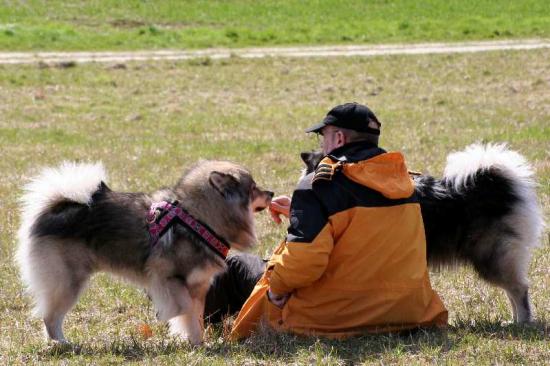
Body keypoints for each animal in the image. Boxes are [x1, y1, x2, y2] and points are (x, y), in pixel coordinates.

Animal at [16, 159, 274, 344]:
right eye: (253, 188)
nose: (271, 193)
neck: (201, 218)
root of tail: (54, 208)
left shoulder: (198, 286)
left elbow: (196, 317)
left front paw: (197, 342)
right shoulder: (169, 277)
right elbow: (184, 310)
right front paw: (177, 326)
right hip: (68, 281)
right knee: (50, 317)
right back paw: (61, 343)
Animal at [302, 144, 548, 324]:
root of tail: (495, 186)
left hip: (488, 255)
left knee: (518, 288)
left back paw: (522, 322)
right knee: (513, 288)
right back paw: (514, 320)